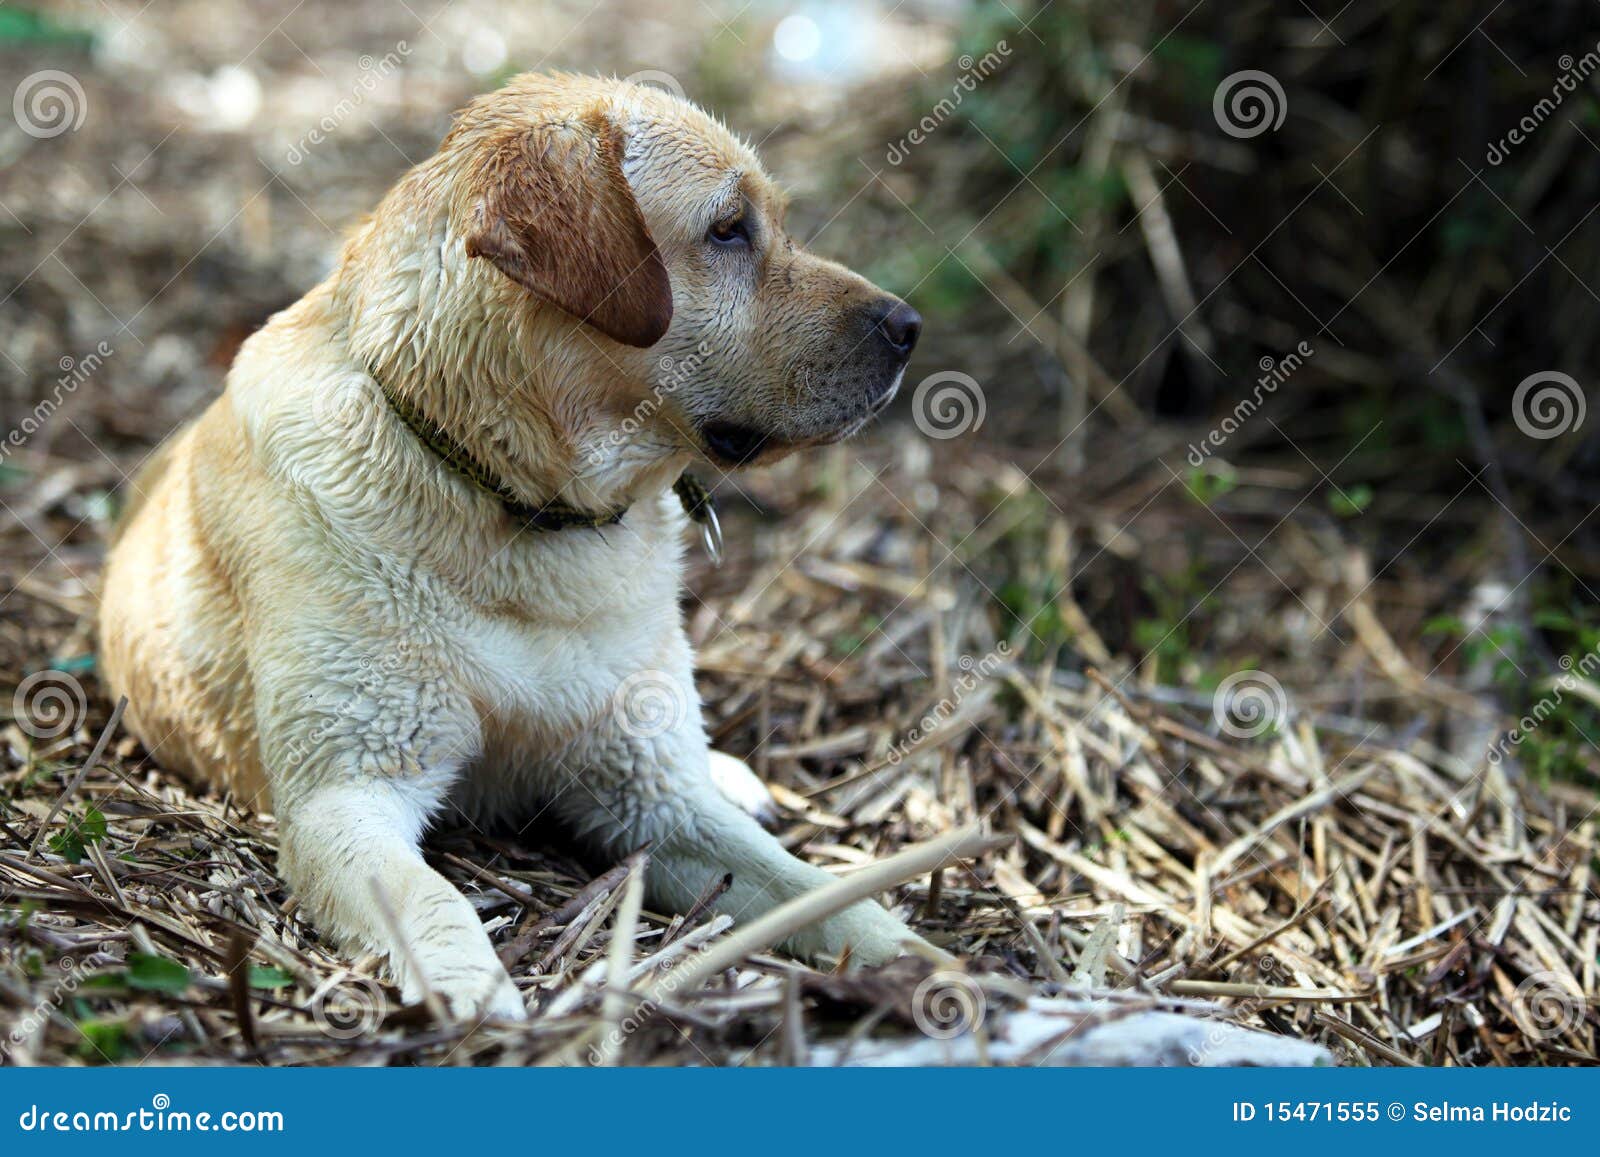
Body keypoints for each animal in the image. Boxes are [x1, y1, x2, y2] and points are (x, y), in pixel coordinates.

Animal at [100, 72, 928, 1017]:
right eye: (727, 229)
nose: (910, 326)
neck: (525, 510)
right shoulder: (345, 794)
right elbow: (430, 894)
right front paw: (471, 990)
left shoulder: (649, 793)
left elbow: (816, 890)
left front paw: (924, 962)